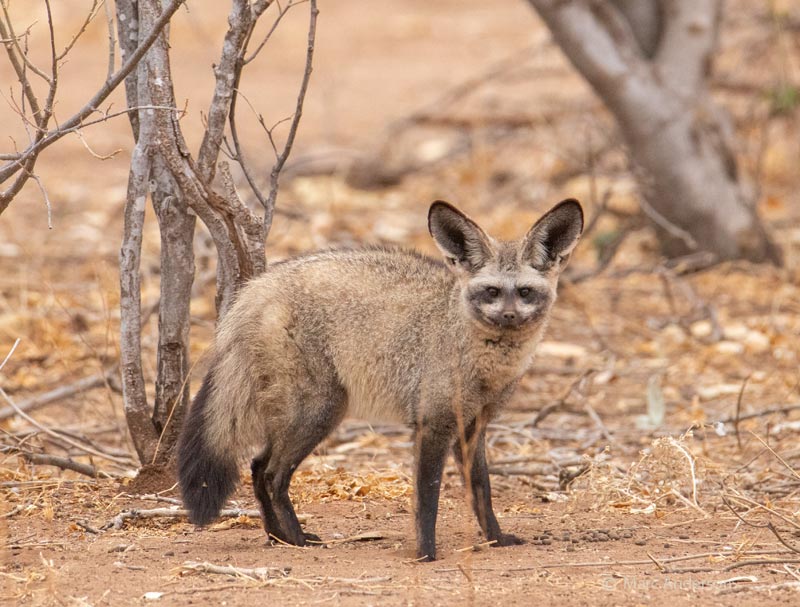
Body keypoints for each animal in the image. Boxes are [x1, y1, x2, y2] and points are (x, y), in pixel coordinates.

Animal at [177, 198, 583, 561]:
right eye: (492, 292)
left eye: (525, 292)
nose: (510, 317)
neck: (478, 357)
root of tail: (256, 288)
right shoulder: (433, 425)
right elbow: (427, 497)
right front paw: (425, 553)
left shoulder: (472, 428)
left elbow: (481, 489)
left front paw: (496, 538)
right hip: (321, 412)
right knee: (273, 475)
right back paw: (298, 539)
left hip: (302, 415)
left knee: (258, 467)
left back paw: (279, 538)